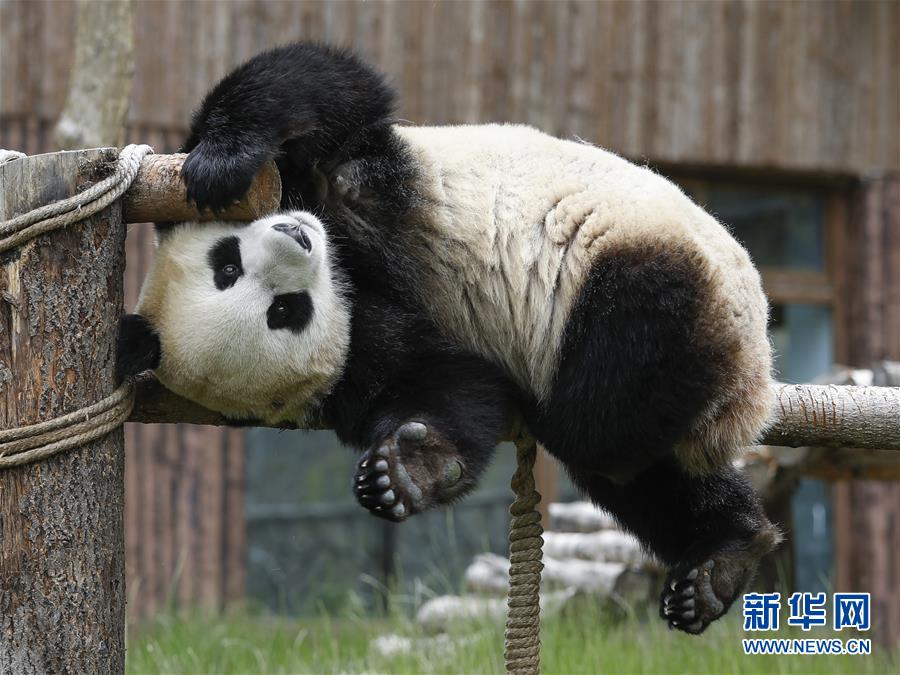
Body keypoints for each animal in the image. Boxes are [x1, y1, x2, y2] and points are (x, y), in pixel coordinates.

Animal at [119, 43, 780, 635]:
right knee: (628, 461)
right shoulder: (357, 356)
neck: (348, 274)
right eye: (284, 311)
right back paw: (721, 559)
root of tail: (747, 386)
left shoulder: (353, 183)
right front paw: (409, 470)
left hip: (647, 270)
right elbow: (450, 388)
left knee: (600, 416)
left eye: (226, 263)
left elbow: (322, 90)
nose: (295, 240)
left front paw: (219, 164)